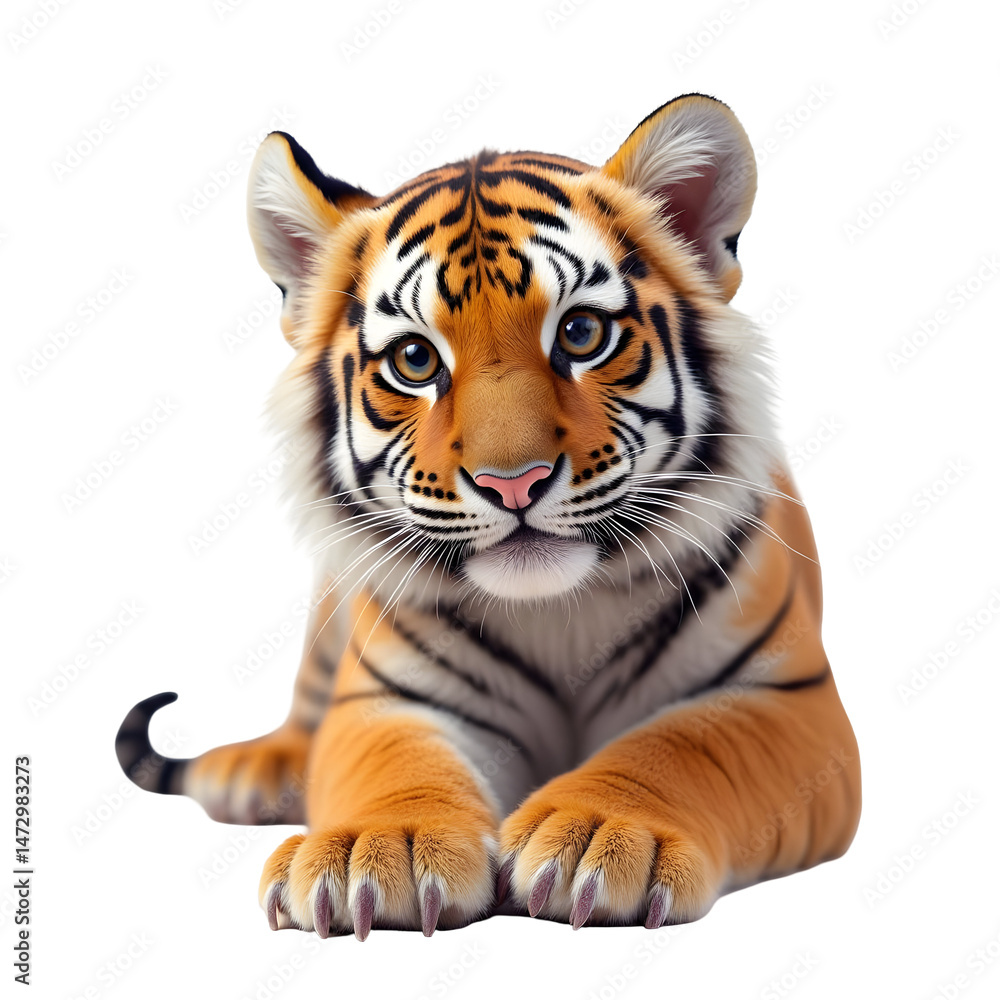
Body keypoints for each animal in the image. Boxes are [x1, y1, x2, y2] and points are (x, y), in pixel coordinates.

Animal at [116, 93, 861, 939]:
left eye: (581, 333)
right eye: (414, 361)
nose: (514, 482)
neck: (557, 611)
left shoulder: (789, 700)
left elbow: (682, 747)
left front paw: (601, 833)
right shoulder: (387, 699)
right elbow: (397, 765)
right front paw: (384, 845)